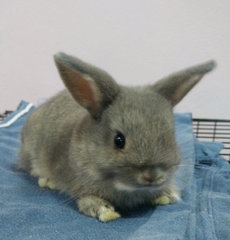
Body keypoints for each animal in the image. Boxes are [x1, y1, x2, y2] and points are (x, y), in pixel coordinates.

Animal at [19, 53, 216, 222]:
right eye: (119, 140)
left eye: (171, 135)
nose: (152, 176)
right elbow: (87, 198)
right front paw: (103, 210)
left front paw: (168, 194)